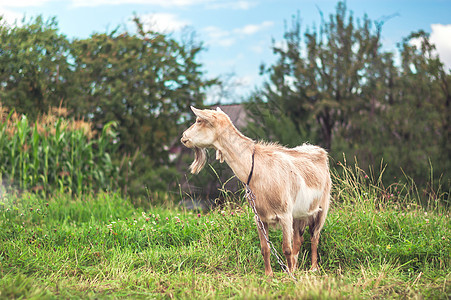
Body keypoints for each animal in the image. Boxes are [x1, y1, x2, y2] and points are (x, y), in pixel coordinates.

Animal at [181, 106, 332, 276]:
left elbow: (286, 248)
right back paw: (296, 267)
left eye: (199, 120)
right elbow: (265, 248)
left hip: (322, 207)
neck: (255, 168)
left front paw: (289, 275)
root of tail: (320, 151)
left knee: (314, 236)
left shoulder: (285, 214)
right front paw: (269, 274)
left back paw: (313, 268)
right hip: (299, 214)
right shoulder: (259, 217)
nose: (183, 137)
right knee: (299, 241)